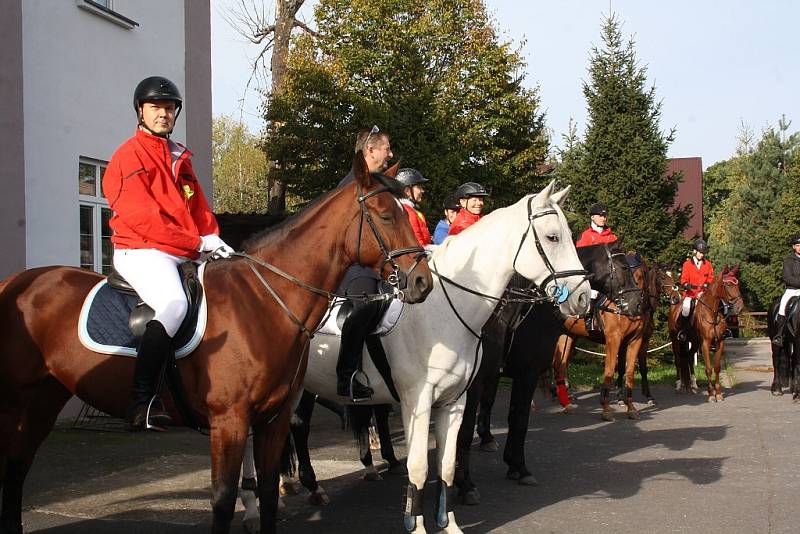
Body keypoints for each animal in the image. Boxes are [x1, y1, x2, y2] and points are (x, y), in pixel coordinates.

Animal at [0, 157, 432, 534]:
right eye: (386, 214)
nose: (422, 282)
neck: (262, 299)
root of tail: (16, 283)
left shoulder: (272, 419)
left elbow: (268, 494)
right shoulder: (230, 421)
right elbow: (223, 500)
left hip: (44, 400)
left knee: (17, 466)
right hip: (16, 403)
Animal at [238, 182, 588, 532]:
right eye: (553, 237)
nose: (584, 296)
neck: (444, 310)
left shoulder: (454, 401)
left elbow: (445, 465)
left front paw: (449, 524)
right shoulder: (417, 402)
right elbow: (419, 466)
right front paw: (417, 524)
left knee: (292, 429)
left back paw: (304, 489)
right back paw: (257, 506)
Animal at [552, 243, 648, 422]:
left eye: (643, 273)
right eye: (625, 268)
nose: (636, 304)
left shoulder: (634, 340)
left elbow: (629, 373)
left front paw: (631, 408)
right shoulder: (614, 339)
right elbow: (609, 371)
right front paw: (606, 408)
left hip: (567, 335)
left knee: (559, 366)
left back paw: (566, 404)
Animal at [668, 266, 744, 404]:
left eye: (738, 284)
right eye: (728, 284)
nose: (740, 307)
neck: (712, 311)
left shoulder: (720, 343)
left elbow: (717, 368)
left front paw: (718, 394)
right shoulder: (705, 344)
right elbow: (708, 369)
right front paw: (710, 395)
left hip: (693, 342)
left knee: (688, 357)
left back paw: (692, 385)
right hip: (676, 341)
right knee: (678, 360)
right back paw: (679, 385)